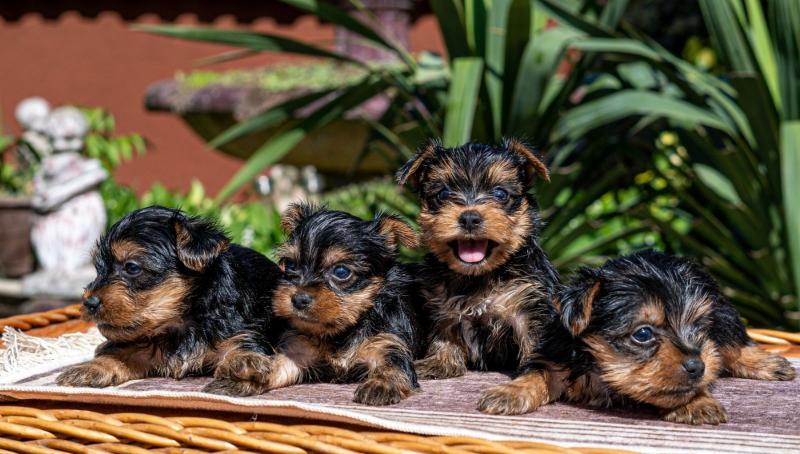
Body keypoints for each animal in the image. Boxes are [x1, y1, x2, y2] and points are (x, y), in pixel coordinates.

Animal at [55, 206, 282, 390]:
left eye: (132, 267)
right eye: (98, 269)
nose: (89, 302)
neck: (180, 324)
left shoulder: (238, 332)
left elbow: (240, 347)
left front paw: (244, 363)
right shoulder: (142, 347)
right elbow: (118, 354)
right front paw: (88, 368)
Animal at [219, 205, 418, 404]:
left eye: (341, 271)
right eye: (290, 265)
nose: (298, 299)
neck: (341, 332)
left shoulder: (387, 343)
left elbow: (393, 367)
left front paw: (381, 383)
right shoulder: (298, 351)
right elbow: (277, 364)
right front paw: (246, 376)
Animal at [524, 252, 792, 426]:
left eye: (698, 326)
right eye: (643, 334)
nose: (697, 366)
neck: (601, 369)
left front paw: (697, 402)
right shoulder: (558, 354)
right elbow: (540, 372)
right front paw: (514, 392)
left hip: (723, 313)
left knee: (732, 342)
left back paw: (769, 364)